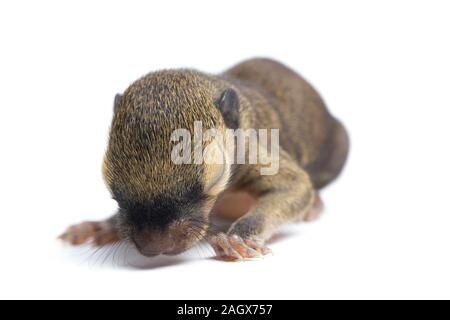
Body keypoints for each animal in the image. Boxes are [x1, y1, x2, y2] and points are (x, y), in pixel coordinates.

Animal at [59, 58, 348, 262]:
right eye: (116, 195)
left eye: (205, 188)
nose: (154, 245)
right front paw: (103, 225)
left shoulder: (251, 148)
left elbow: (296, 187)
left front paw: (240, 237)